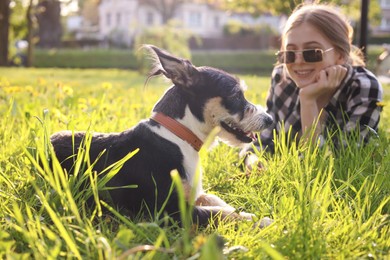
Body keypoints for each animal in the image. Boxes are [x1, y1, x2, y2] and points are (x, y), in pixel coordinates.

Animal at [49, 45, 274, 228]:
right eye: (236, 95)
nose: (270, 119)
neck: (179, 136)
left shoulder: (193, 193)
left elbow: (217, 202)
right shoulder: (169, 211)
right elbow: (218, 214)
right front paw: (260, 220)